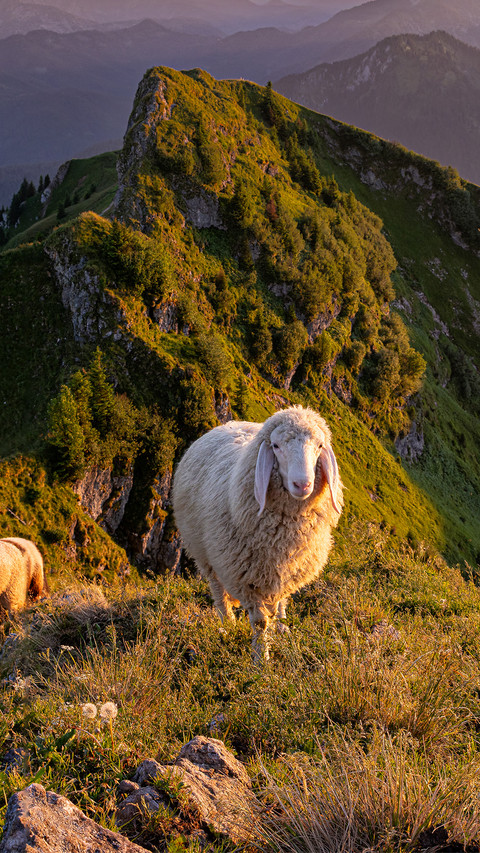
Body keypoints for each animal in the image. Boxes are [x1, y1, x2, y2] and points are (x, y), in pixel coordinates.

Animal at [172, 405, 343, 660]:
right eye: (276, 446)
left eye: (320, 446)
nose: (302, 484)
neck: (283, 534)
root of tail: (228, 424)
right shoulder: (246, 578)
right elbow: (261, 621)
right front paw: (261, 659)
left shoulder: (286, 569)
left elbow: (280, 600)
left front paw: (280, 628)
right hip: (204, 554)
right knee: (217, 590)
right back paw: (228, 623)